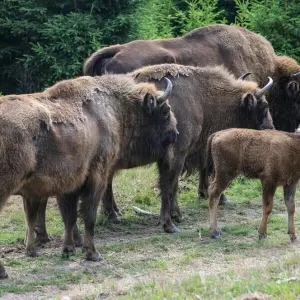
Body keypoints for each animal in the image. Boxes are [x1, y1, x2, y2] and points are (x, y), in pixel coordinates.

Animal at [0, 73, 177, 278]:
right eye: (165, 111)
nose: (175, 134)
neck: (114, 108)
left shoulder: (69, 185)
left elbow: (69, 217)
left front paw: (68, 249)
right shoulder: (97, 177)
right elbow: (89, 215)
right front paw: (93, 253)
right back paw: (4, 271)